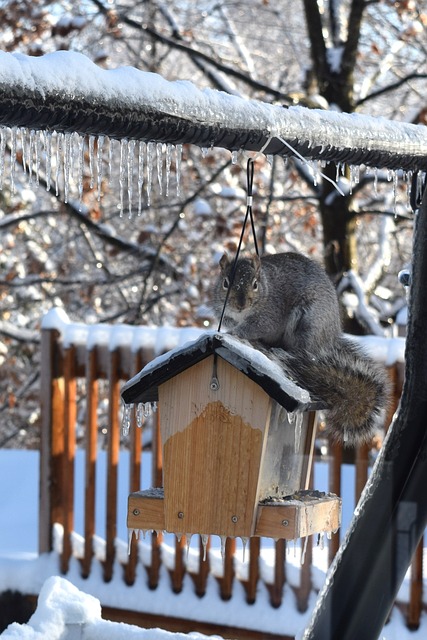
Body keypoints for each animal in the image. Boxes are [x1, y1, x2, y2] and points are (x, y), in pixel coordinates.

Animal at [214, 250, 392, 444]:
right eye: (225, 283)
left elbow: (255, 327)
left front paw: (235, 332)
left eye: (255, 284)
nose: (241, 304)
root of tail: (331, 338)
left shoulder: (270, 314)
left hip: (307, 325)